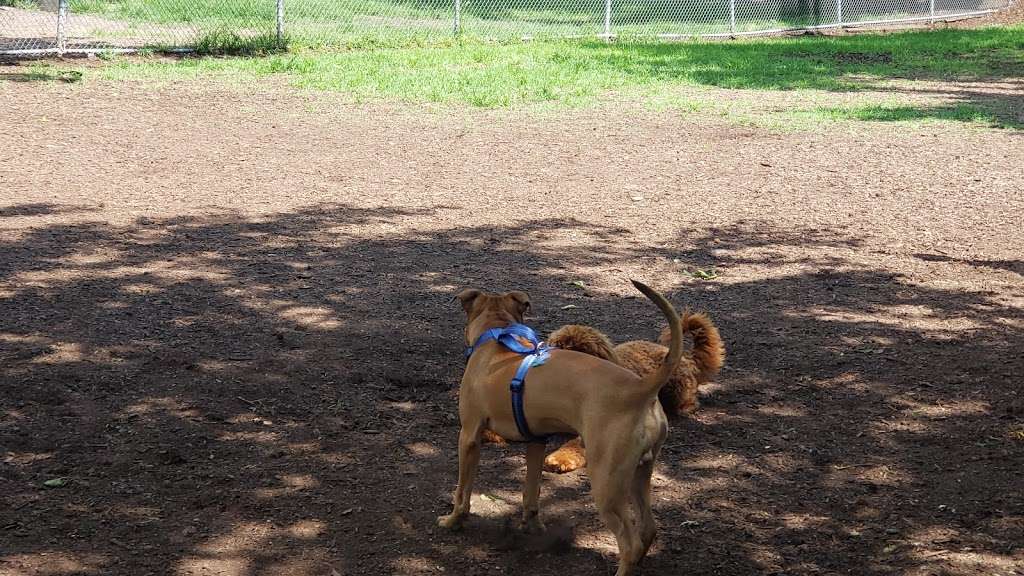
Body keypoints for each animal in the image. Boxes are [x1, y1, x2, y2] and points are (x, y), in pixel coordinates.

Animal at [438, 278, 679, 573]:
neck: (498, 335)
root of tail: (641, 388)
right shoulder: (536, 442)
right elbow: (531, 493)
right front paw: (531, 526)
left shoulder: (469, 437)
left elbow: (462, 492)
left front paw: (453, 521)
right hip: (639, 474)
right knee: (648, 529)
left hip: (607, 484)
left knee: (629, 542)